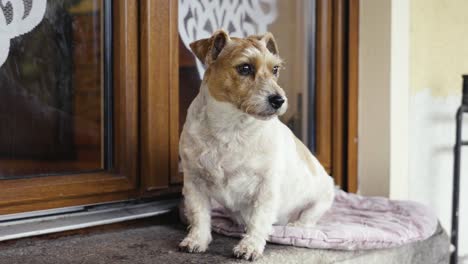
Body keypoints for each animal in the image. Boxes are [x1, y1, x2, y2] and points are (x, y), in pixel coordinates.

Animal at [177, 28, 334, 260]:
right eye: (245, 68)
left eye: (275, 69)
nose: (279, 100)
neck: (231, 127)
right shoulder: (195, 182)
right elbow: (199, 216)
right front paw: (196, 240)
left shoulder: (265, 187)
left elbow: (259, 220)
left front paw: (249, 246)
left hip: (320, 200)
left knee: (307, 220)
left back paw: (295, 226)